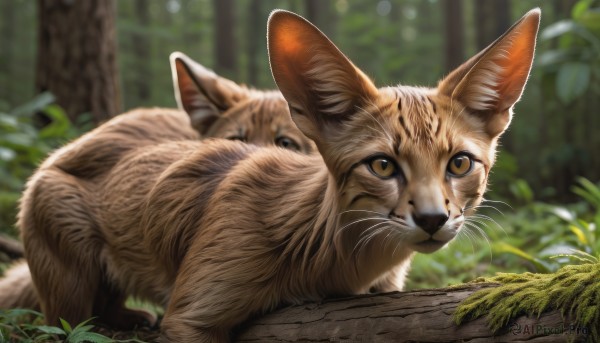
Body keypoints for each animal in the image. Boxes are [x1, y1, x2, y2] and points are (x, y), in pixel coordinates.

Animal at [5, 9, 540, 342]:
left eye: (459, 163)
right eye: (383, 164)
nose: (432, 219)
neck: (332, 263)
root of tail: (58, 155)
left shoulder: (387, 289)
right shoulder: (193, 311)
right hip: (69, 287)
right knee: (71, 321)